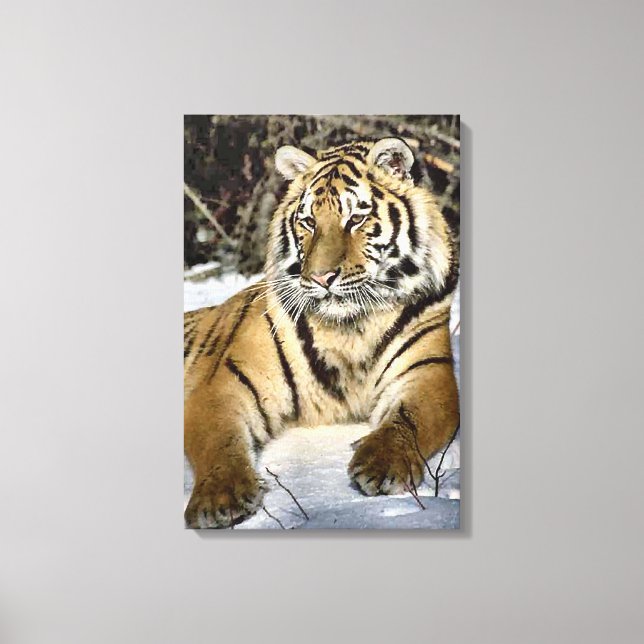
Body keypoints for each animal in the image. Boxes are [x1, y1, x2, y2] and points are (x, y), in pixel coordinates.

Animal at [184, 137, 460, 528]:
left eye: (356, 219)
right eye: (309, 222)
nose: (320, 278)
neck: (349, 327)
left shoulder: (428, 373)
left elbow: (409, 420)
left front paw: (381, 463)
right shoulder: (223, 383)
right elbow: (218, 440)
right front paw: (220, 498)